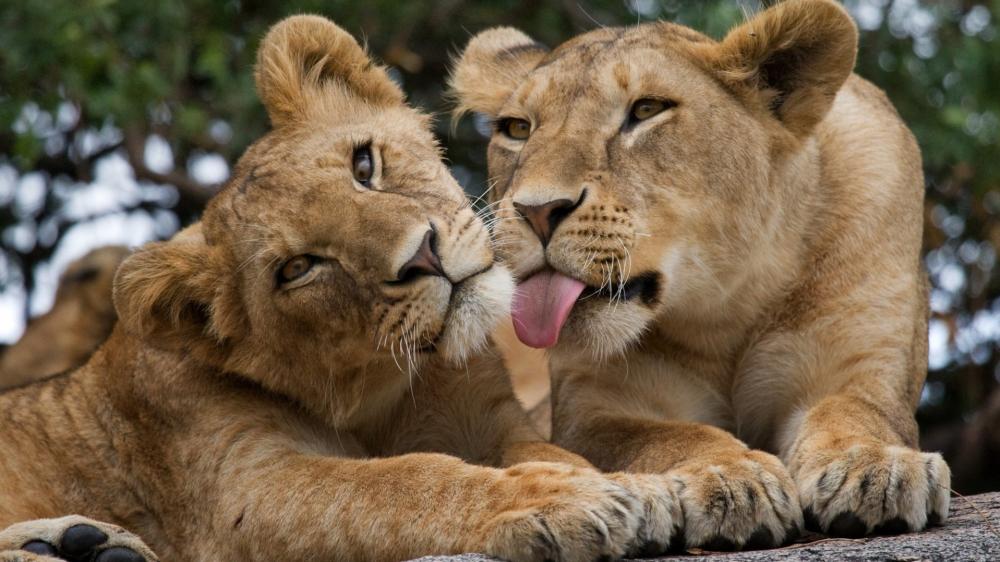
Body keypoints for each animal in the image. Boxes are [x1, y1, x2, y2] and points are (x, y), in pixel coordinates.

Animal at [451, 0, 950, 551]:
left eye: (646, 110)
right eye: (517, 128)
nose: (537, 211)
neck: (725, 308)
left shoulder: (861, 366)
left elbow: (854, 412)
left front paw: (874, 467)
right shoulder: (592, 410)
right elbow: (669, 435)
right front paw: (733, 479)